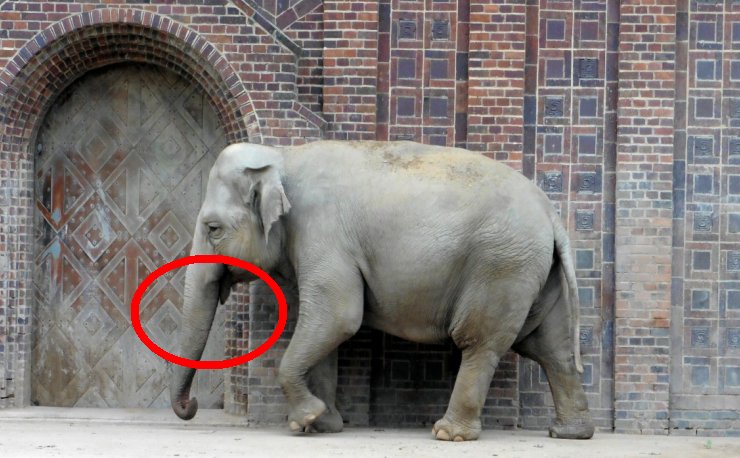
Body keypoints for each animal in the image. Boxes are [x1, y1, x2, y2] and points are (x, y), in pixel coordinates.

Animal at [169, 140, 595, 441]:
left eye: (213, 229)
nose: (191, 406)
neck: (282, 155)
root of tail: (551, 215)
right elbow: (324, 329)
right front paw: (321, 425)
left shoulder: (322, 232)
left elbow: (338, 317)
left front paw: (305, 419)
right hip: (539, 270)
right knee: (553, 350)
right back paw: (569, 433)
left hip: (501, 266)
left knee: (480, 342)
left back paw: (448, 434)